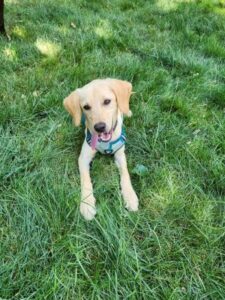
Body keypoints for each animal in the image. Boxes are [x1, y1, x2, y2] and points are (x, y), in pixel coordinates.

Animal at [63, 78, 139, 220]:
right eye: (86, 107)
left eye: (107, 101)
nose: (99, 127)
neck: (105, 142)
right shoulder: (83, 158)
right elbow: (86, 180)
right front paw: (87, 204)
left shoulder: (120, 155)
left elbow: (125, 173)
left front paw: (130, 196)